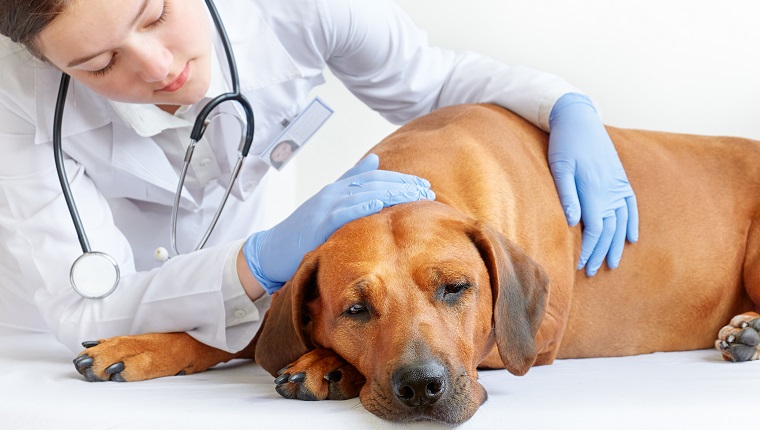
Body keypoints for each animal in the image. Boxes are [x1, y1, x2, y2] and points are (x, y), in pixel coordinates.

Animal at [72, 103, 760, 424]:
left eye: (457, 288)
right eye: (355, 308)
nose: (421, 388)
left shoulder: (532, 340)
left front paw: (323, 364)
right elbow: (239, 329)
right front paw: (139, 344)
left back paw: (747, 330)